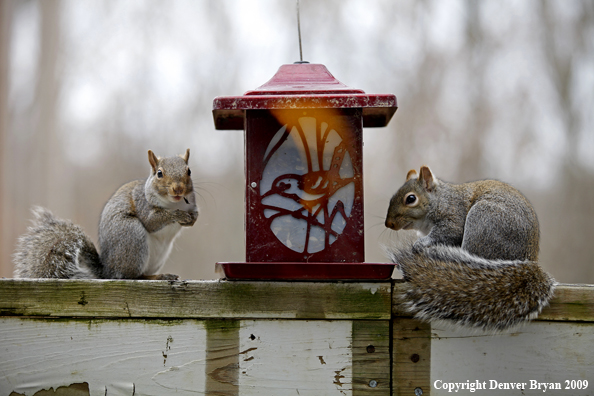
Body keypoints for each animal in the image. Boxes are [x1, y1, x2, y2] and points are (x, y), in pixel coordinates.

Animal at [12, 149, 198, 282]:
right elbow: (152, 221)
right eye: (159, 173)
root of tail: (107, 270)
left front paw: (193, 217)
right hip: (132, 235)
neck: (175, 202)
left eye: (189, 171)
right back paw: (158, 276)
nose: (178, 189)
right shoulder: (142, 203)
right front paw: (178, 215)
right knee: (132, 276)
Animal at [384, 166, 556, 332]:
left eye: (411, 199)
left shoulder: (454, 218)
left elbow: (447, 232)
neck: (440, 199)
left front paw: (421, 243)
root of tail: (528, 259)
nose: (389, 224)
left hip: (483, 222)